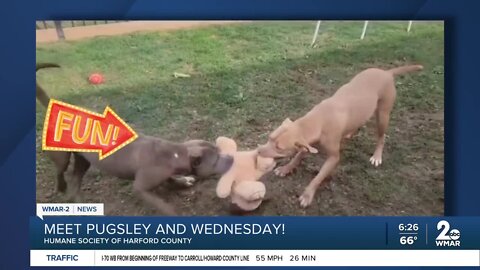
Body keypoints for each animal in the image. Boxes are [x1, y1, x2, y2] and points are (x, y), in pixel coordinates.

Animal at [258, 64, 424, 208]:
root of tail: (386, 72)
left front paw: (307, 195)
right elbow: (297, 156)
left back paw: (377, 156)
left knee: (381, 137)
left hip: (383, 116)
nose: (258, 151)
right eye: (269, 138)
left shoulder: (333, 158)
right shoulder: (307, 144)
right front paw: (286, 168)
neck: (318, 120)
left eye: (279, 147)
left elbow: (318, 177)